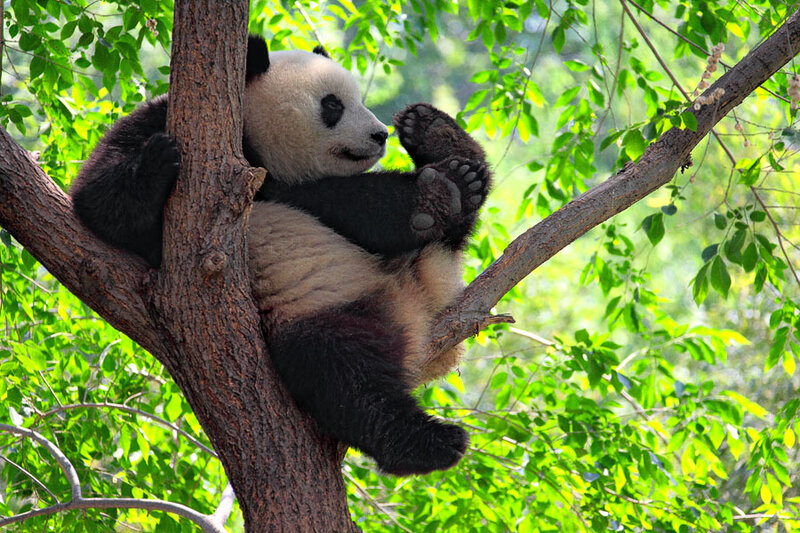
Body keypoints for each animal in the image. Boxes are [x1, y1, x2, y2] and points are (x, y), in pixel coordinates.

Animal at [70, 35, 491, 476]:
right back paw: (431, 442)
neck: (248, 140)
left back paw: (445, 150)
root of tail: (415, 304)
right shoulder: (165, 125)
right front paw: (158, 158)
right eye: (332, 105)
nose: (379, 135)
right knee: (342, 376)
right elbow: (100, 201)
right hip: (319, 311)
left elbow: (349, 205)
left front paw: (437, 194)